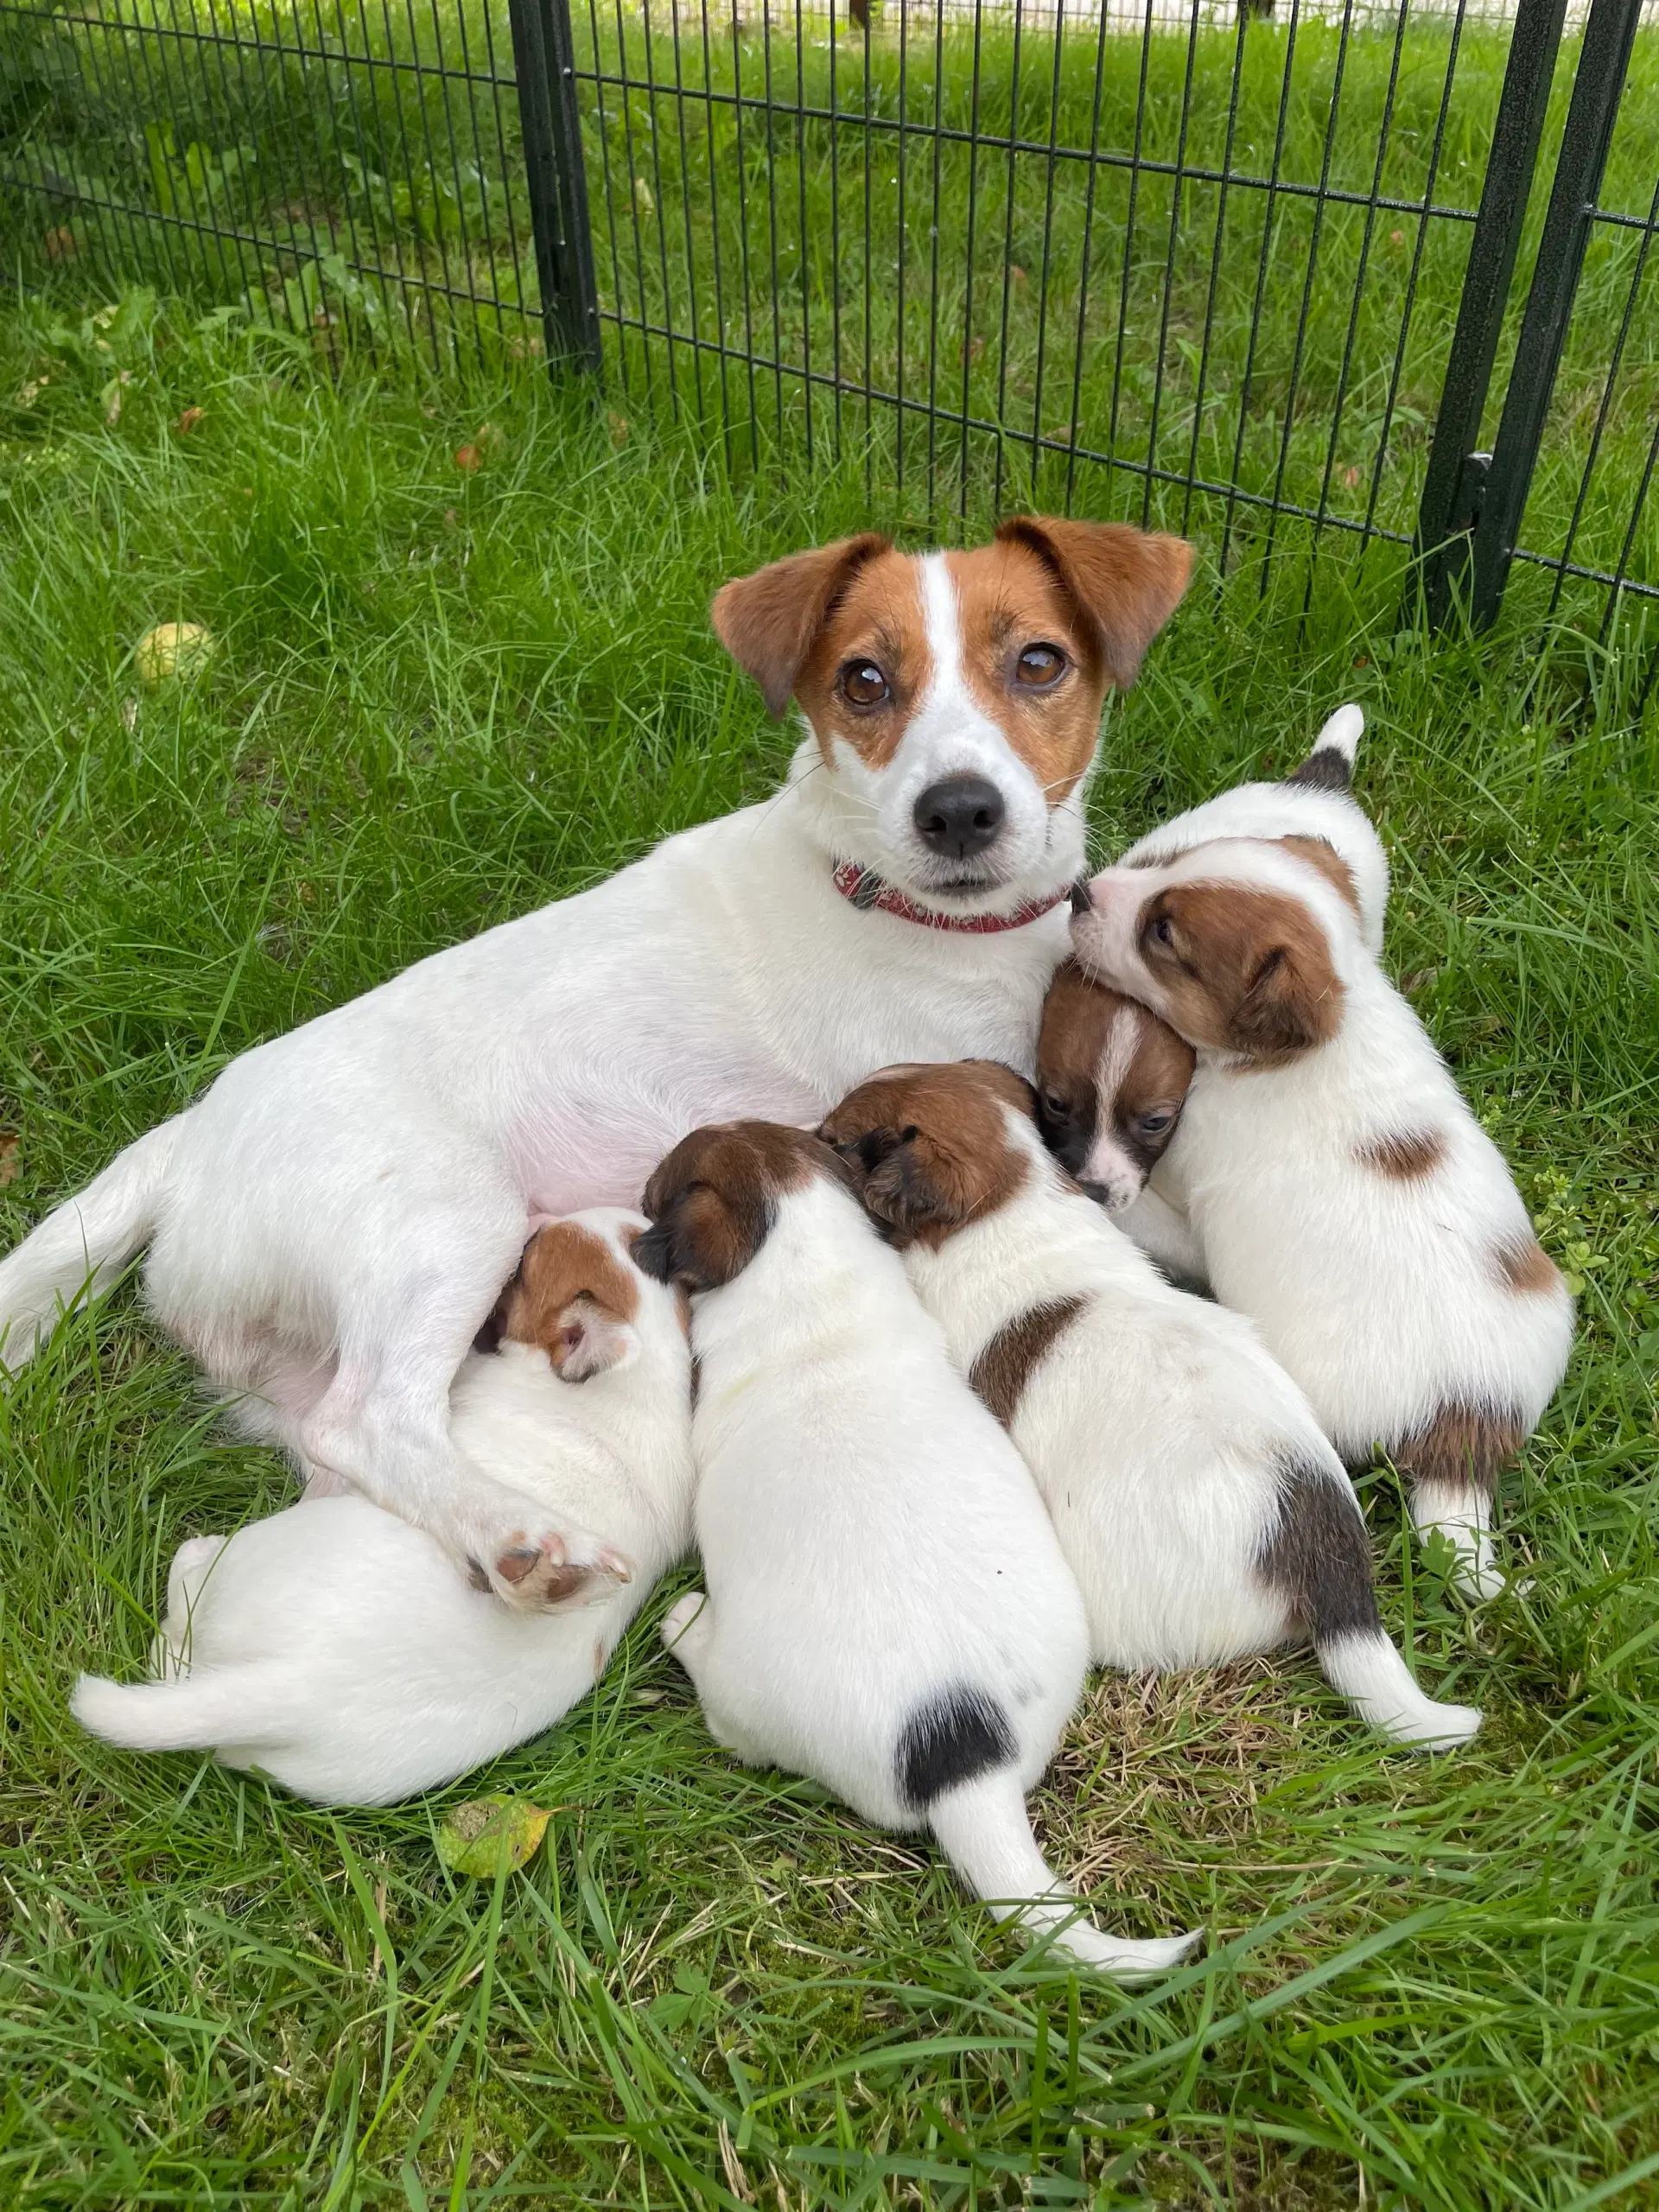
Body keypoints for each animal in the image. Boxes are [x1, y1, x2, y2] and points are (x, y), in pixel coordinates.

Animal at [69, 1211, 694, 1814]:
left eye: (526, 1264)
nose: (537, 1222)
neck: (640, 1382)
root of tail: (293, 1690)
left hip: (254, 1556)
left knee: (181, 1613)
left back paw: (195, 1556)